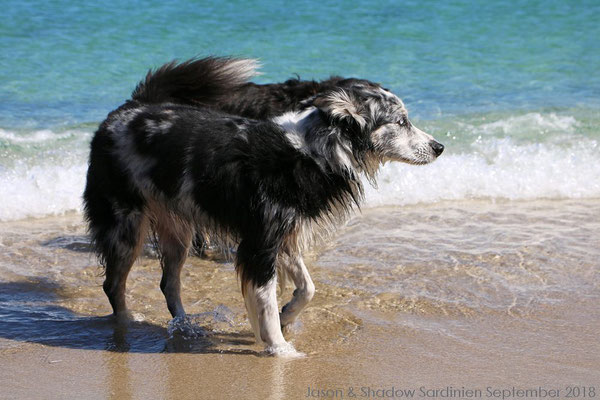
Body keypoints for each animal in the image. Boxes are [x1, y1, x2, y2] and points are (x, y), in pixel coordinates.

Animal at [82, 56, 442, 356]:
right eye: (401, 121)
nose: (439, 147)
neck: (317, 148)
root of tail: (128, 108)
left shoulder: (284, 233)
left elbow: (308, 288)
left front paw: (288, 316)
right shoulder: (260, 243)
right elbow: (266, 301)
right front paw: (280, 349)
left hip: (177, 232)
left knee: (168, 284)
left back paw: (185, 327)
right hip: (124, 223)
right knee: (113, 283)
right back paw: (126, 324)